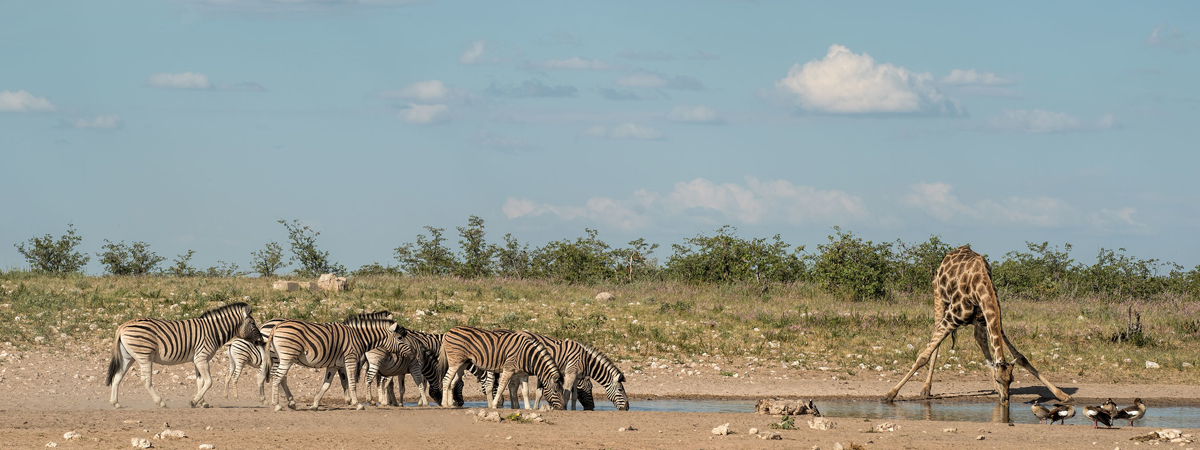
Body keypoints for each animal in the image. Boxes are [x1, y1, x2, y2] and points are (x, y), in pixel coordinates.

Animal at [106, 301, 264, 410]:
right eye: (253, 323)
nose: (261, 341)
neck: (213, 331)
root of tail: (123, 325)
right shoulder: (202, 358)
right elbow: (209, 381)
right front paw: (194, 401)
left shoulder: (197, 360)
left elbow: (200, 381)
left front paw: (202, 402)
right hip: (144, 355)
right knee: (145, 380)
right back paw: (160, 402)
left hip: (128, 357)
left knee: (117, 376)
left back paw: (115, 403)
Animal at [266, 316, 408, 412]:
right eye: (400, 338)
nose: (411, 352)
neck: (359, 337)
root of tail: (276, 326)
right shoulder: (351, 359)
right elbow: (351, 382)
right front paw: (357, 404)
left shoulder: (333, 365)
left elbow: (326, 385)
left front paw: (315, 404)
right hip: (287, 356)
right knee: (277, 377)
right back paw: (277, 405)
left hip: (283, 358)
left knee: (282, 378)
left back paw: (290, 403)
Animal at [883, 244, 1070, 403]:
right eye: (999, 379)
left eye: (1012, 380)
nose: (1005, 399)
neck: (980, 286)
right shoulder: (952, 317)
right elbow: (923, 356)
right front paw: (890, 393)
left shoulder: (991, 319)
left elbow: (1020, 357)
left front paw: (1062, 395)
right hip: (939, 298)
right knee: (936, 342)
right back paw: (926, 388)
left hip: (977, 321)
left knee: (981, 341)